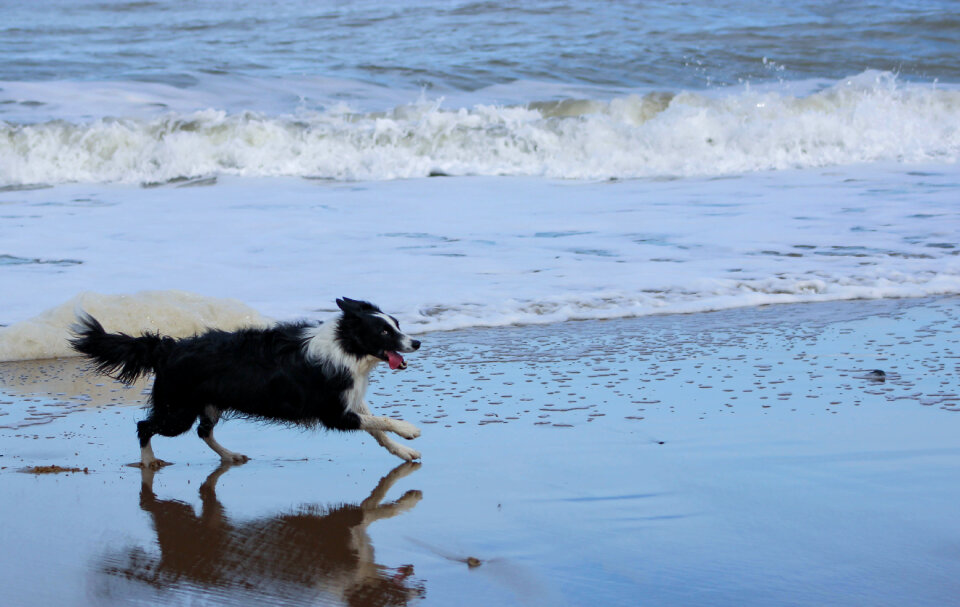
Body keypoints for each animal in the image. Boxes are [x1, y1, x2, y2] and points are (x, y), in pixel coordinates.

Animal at [69, 298, 422, 466]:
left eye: (397, 324)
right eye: (384, 331)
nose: (417, 343)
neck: (346, 346)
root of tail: (167, 347)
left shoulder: (351, 400)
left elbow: (377, 427)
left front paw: (402, 451)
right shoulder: (333, 412)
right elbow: (381, 420)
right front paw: (409, 430)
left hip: (206, 404)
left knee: (203, 431)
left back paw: (228, 456)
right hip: (177, 411)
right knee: (146, 426)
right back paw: (148, 461)